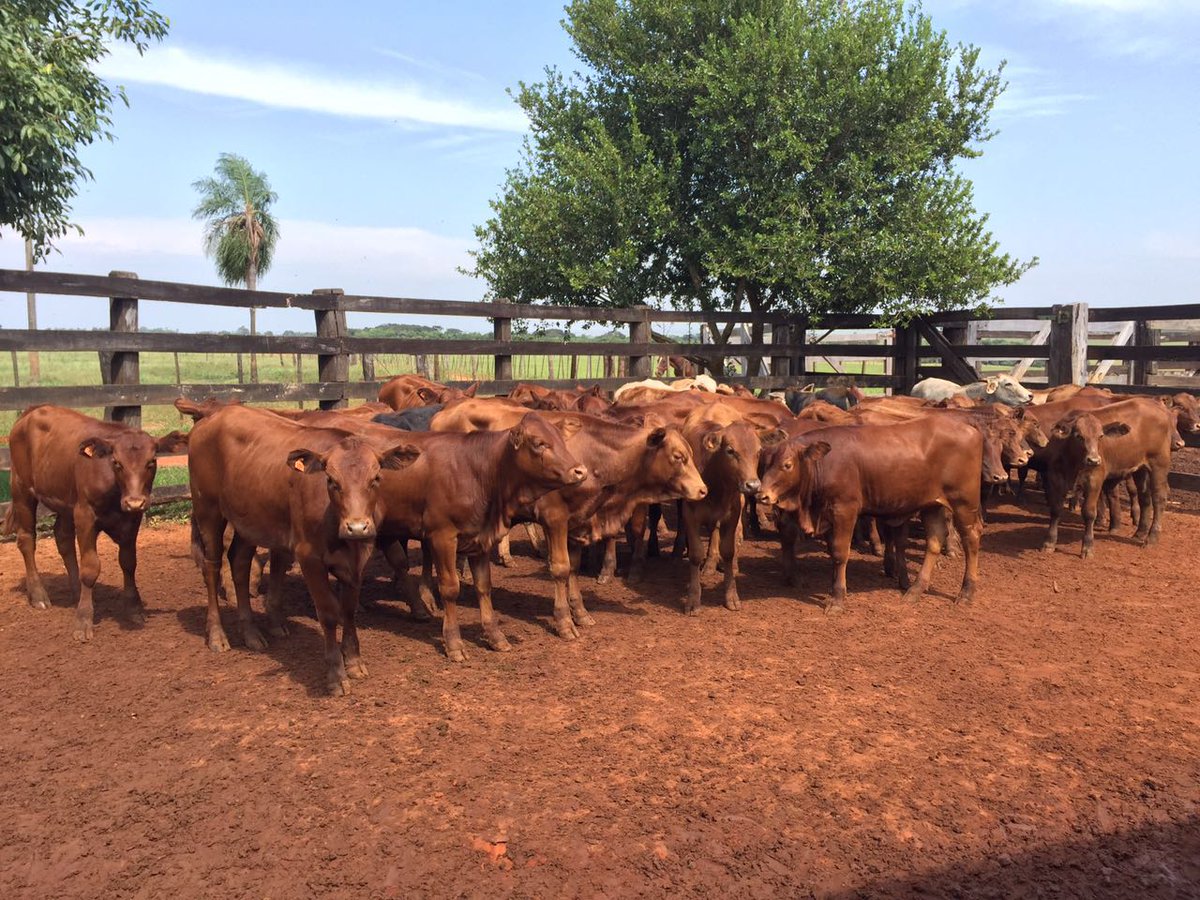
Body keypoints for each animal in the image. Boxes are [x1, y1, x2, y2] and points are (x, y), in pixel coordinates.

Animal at [3, 405, 186, 643]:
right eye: (116, 463)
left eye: (151, 462)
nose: (134, 501)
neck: (115, 491)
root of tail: (32, 410)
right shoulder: (85, 514)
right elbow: (90, 568)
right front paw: (83, 620)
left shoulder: (132, 519)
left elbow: (129, 563)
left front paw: (133, 609)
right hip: (22, 489)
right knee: (26, 539)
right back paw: (38, 595)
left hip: (65, 501)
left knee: (63, 538)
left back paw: (76, 592)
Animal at [182, 405, 417, 696]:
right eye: (331, 480)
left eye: (376, 478)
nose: (357, 527)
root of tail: (214, 415)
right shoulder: (309, 558)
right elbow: (329, 613)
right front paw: (336, 675)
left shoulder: (358, 557)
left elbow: (349, 609)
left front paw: (353, 661)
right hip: (208, 511)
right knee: (212, 567)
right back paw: (217, 635)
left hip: (248, 519)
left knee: (239, 563)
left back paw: (251, 634)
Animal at [758, 420, 984, 609]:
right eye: (764, 463)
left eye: (787, 464)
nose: (762, 495)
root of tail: (971, 429)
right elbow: (832, 551)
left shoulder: (845, 509)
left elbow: (840, 552)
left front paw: (837, 597)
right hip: (932, 505)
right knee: (934, 542)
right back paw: (915, 590)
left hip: (964, 503)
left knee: (971, 539)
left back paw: (966, 592)